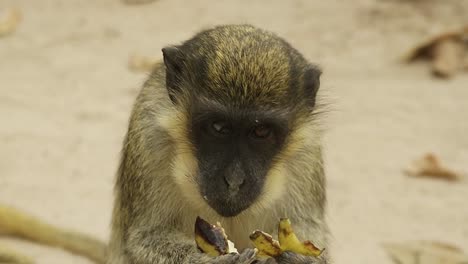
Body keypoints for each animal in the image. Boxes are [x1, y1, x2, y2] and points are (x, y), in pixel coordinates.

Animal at [108, 23, 330, 262]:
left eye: (261, 131)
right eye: (219, 127)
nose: (234, 181)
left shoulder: (307, 155)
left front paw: (296, 257)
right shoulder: (148, 134)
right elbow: (145, 236)